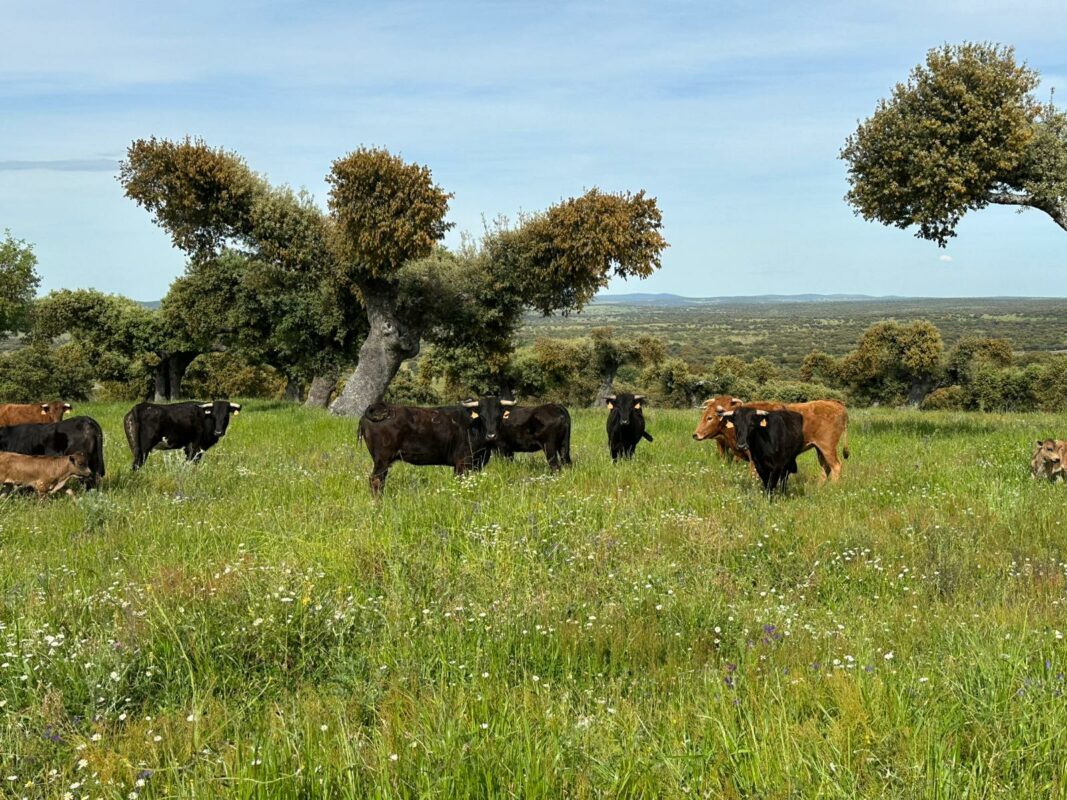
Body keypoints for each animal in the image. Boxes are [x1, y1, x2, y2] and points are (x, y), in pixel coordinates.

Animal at [358, 394, 516, 494]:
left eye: (499, 416)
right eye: (482, 416)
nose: (491, 435)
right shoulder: (463, 462)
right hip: (382, 460)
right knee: (375, 481)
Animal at [691, 394, 849, 482]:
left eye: (710, 417)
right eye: (704, 415)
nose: (695, 434)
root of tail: (836, 404)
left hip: (827, 447)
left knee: (836, 466)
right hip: (819, 449)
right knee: (825, 468)